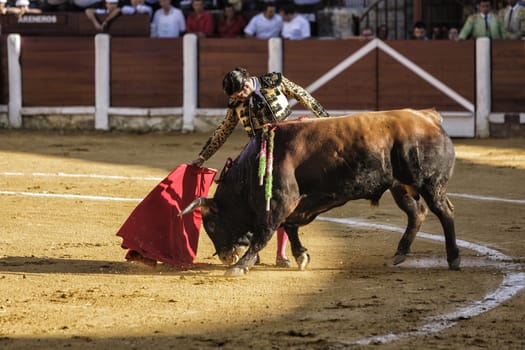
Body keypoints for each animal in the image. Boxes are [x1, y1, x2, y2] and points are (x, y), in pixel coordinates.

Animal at [181, 108, 458, 276]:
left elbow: (264, 234)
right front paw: (301, 256)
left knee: (444, 212)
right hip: (400, 186)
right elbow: (289, 227)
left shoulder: (280, 202)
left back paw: (453, 258)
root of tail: (429, 117)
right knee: (417, 212)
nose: (225, 257)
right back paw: (400, 253)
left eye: (211, 224)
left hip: (430, 184)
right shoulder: (295, 205)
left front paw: (240, 266)